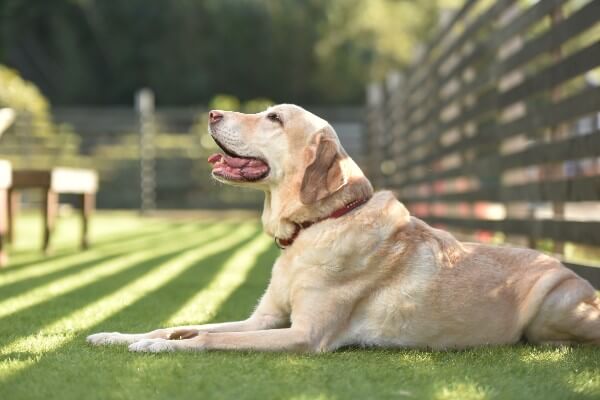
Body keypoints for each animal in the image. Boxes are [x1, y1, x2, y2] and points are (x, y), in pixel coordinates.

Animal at [88, 104, 600, 352]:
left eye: (274, 118)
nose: (212, 113)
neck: (315, 226)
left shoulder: (302, 335)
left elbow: (211, 338)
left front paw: (157, 349)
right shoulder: (264, 320)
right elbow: (175, 326)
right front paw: (119, 337)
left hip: (551, 309)